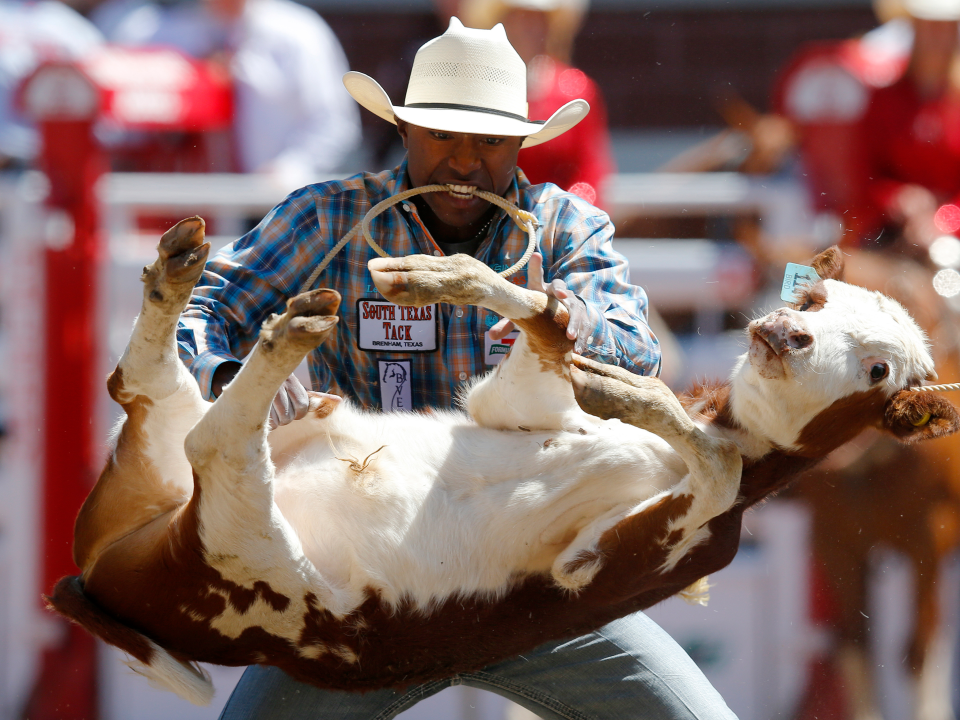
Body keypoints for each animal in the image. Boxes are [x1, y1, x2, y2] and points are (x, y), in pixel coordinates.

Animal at [50, 218, 960, 704]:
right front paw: (441, 271)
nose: (785, 331)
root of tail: (98, 572)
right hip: (161, 469)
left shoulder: (617, 558)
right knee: (144, 386)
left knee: (216, 442)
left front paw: (629, 393)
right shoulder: (515, 401)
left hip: (249, 549)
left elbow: (716, 465)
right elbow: (547, 323)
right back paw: (184, 277)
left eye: (879, 369)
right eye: (815, 297)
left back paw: (288, 333)